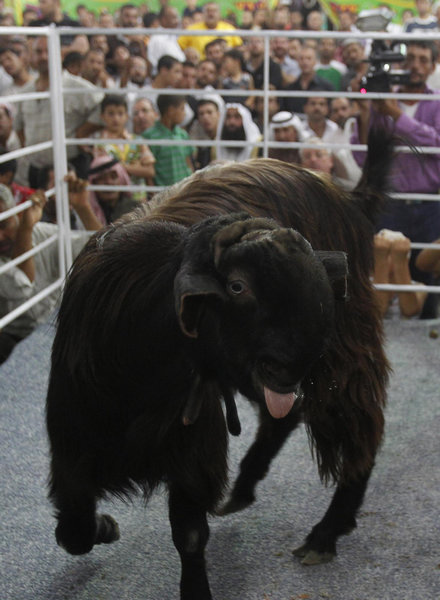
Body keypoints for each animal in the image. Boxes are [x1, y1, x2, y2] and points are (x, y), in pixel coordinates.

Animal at [47, 213, 348, 596]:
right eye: (237, 286)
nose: (298, 364)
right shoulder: (71, 458)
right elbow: (75, 532)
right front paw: (105, 527)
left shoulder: (194, 455)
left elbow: (190, 536)